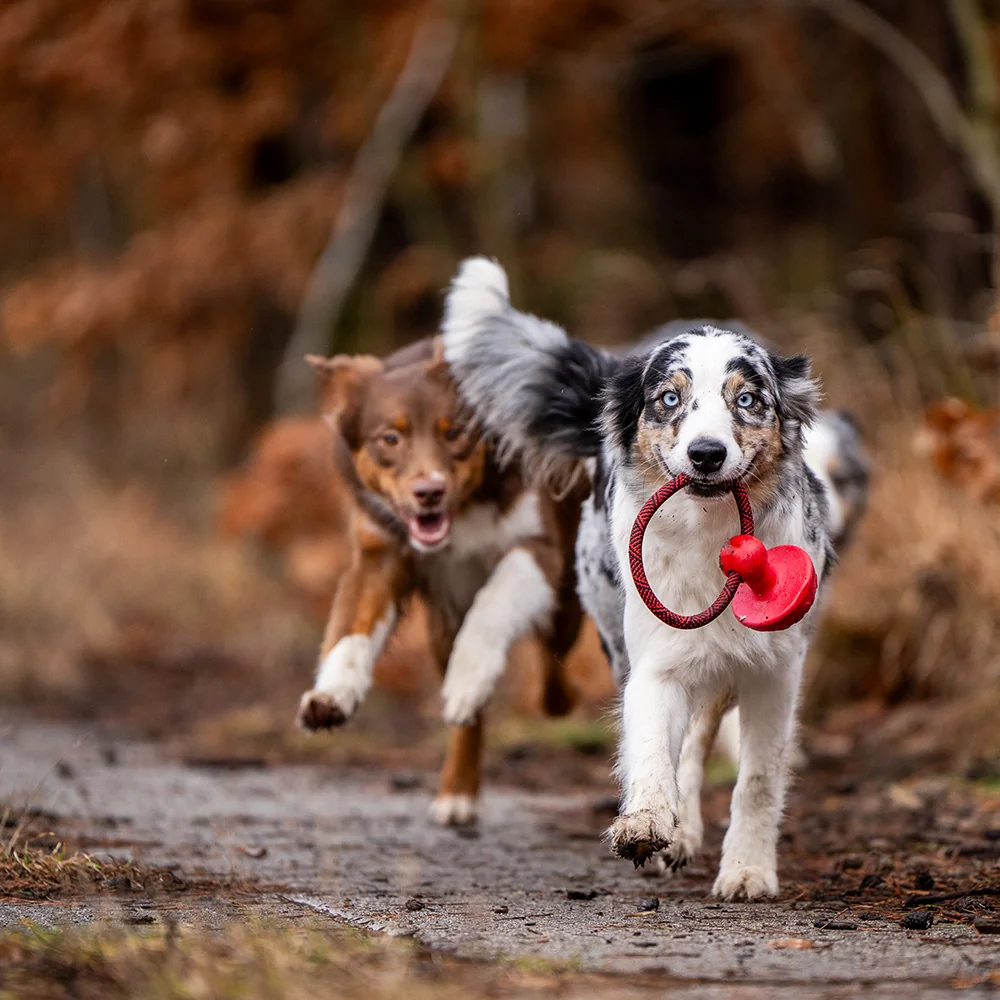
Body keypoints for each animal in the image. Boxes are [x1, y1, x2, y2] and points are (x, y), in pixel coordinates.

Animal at [292, 340, 584, 824]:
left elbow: (494, 601)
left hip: (567, 601)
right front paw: (331, 695)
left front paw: (469, 676)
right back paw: (458, 793)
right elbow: (351, 631)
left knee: (554, 663)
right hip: (441, 629)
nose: (428, 492)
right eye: (390, 438)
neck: (461, 515)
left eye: (455, 433)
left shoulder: (540, 551)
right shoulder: (378, 556)